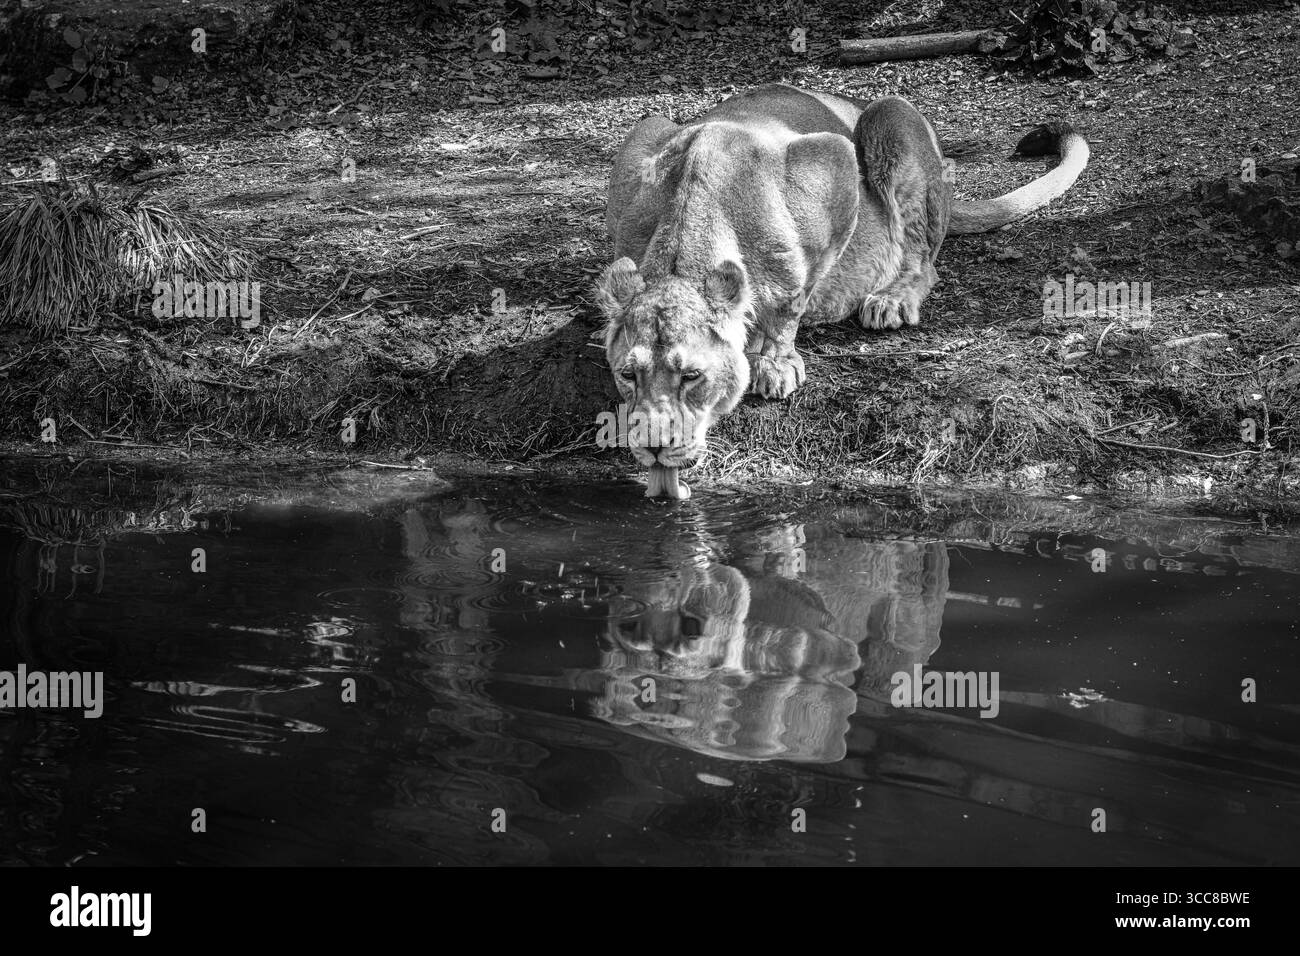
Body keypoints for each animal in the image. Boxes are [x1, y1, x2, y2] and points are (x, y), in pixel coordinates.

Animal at [595, 83, 1090, 497]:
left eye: (692, 376)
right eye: (628, 375)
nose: (655, 446)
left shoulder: (831, 162)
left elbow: (792, 297)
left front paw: (775, 360)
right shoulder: (637, 154)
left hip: (888, 116)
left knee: (924, 258)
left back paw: (891, 300)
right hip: (654, 121)